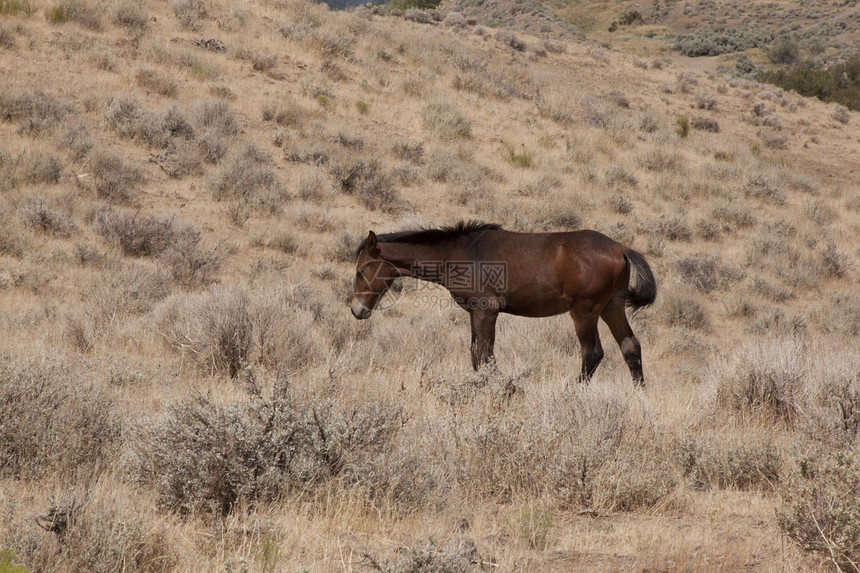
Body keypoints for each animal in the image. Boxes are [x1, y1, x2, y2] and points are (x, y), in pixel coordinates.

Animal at [350, 221, 660, 386]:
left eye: (360, 271)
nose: (357, 310)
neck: (458, 253)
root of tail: (621, 248)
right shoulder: (475, 313)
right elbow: (476, 355)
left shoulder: (487, 311)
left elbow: (486, 356)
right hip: (612, 307)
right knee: (630, 347)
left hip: (584, 311)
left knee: (592, 353)